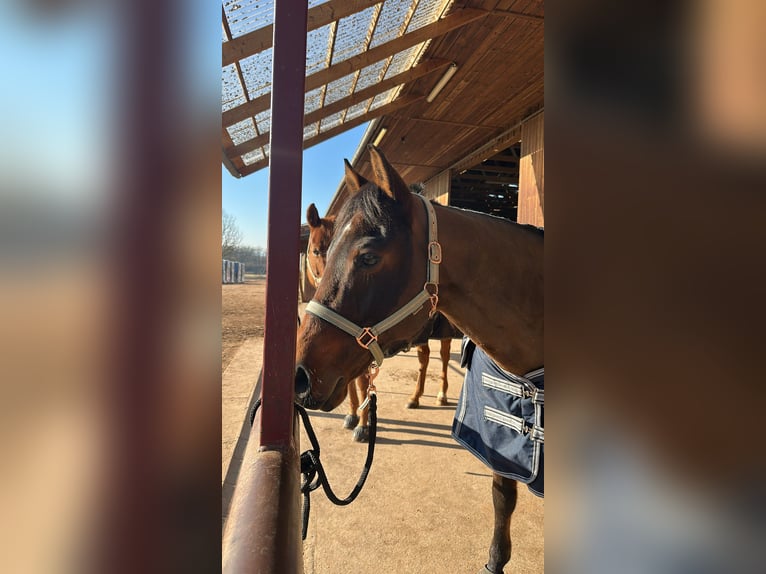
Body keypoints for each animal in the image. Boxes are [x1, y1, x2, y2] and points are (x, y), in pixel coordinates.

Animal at [305, 202, 460, 443]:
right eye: (316, 251)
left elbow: (362, 384)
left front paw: (363, 425)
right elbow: (350, 382)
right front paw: (351, 415)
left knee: (443, 357)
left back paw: (441, 394)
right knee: (424, 359)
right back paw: (415, 397)